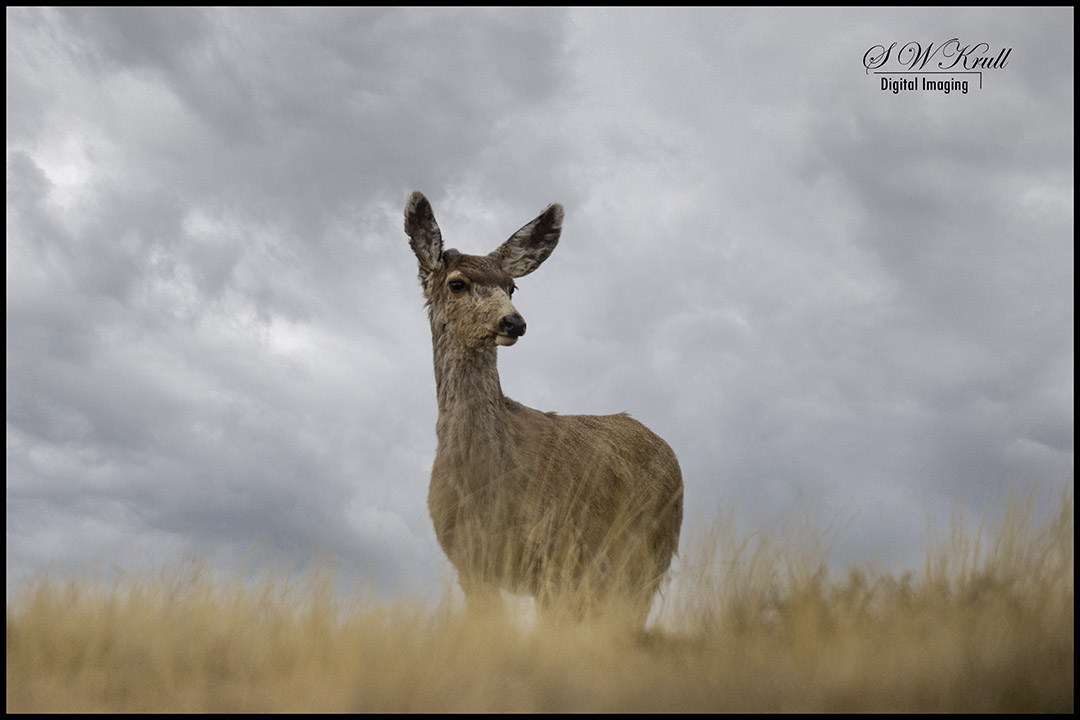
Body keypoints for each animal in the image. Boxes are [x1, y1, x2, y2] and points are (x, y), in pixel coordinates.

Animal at [404, 190, 683, 626]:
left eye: (512, 286)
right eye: (457, 283)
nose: (514, 322)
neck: (485, 482)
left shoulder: (555, 550)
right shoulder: (469, 563)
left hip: (649, 551)